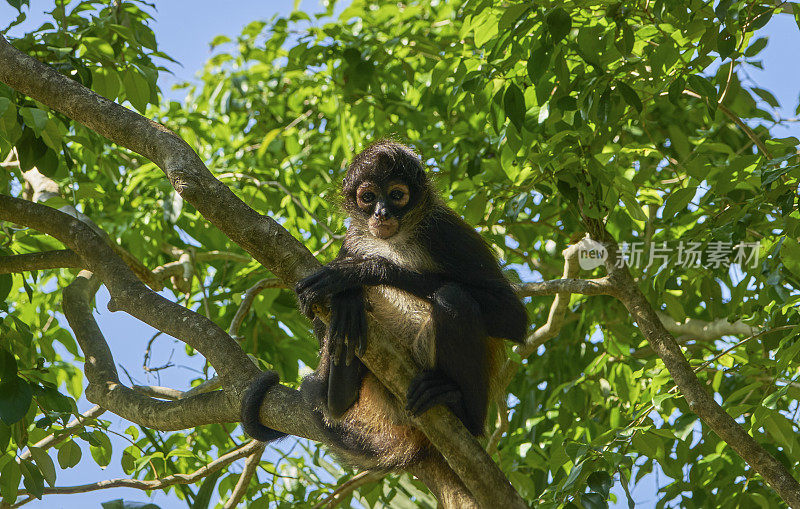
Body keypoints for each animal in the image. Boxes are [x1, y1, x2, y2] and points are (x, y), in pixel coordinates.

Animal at [241, 140, 528, 468]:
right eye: (367, 197)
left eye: (396, 195)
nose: (381, 213)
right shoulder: (353, 238)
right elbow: (315, 303)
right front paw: (349, 296)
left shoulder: (444, 230)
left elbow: (512, 317)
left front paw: (364, 271)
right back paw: (339, 391)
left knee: (454, 297)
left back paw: (460, 409)